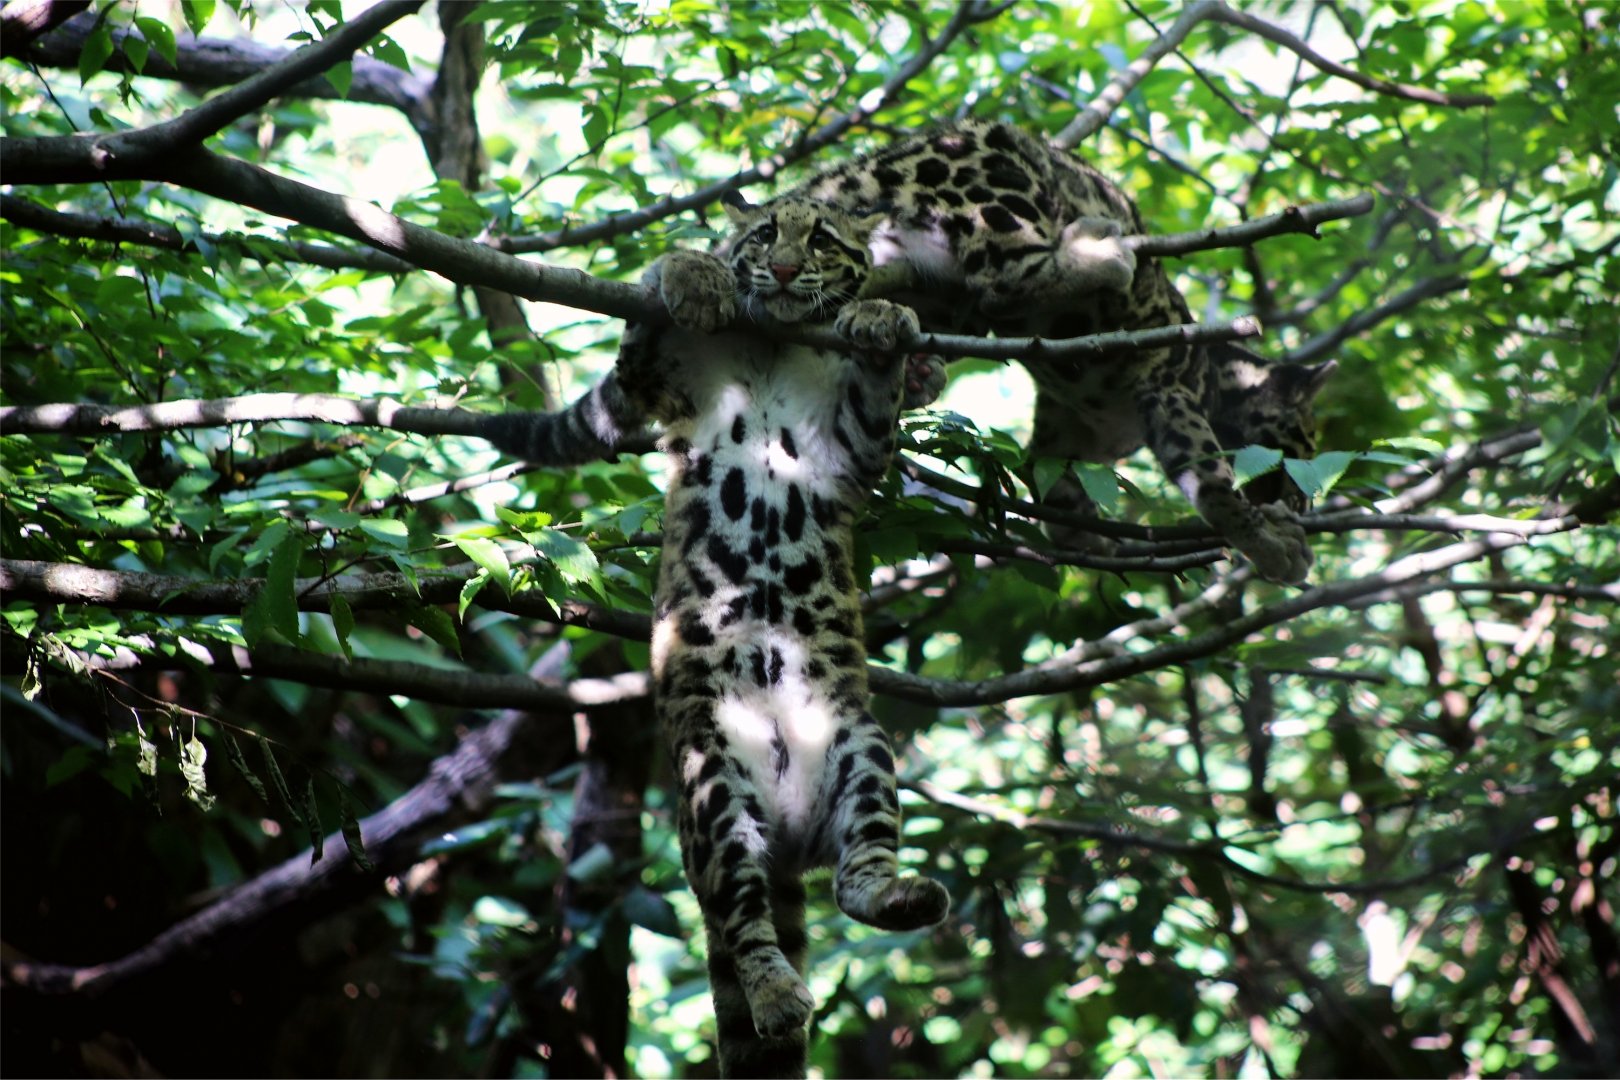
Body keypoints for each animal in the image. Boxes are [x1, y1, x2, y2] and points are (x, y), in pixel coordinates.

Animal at [483, 196, 951, 1079]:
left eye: (822, 240)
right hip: (712, 784)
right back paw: (774, 994)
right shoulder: (656, 380)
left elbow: (875, 403)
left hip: (861, 747)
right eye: (767, 233)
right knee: (741, 920)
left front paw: (884, 317)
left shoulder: (851, 445)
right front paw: (697, 272)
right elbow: (648, 320)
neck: (773, 344)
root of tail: (788, 844)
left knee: (851, 879)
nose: (785, 269)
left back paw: (894, 894)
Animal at [783, 118, 1336, 583]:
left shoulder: (1062, 437)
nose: (1306, 506)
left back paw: (901, 352)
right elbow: (1213, 481)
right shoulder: (1170, 388)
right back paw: (1101, 253)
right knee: (1003, 276)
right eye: (1303, 444)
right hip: (1001, 181)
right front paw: (1272, 545)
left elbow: (1054, 486)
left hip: (937, 290)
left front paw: (1092, 540)